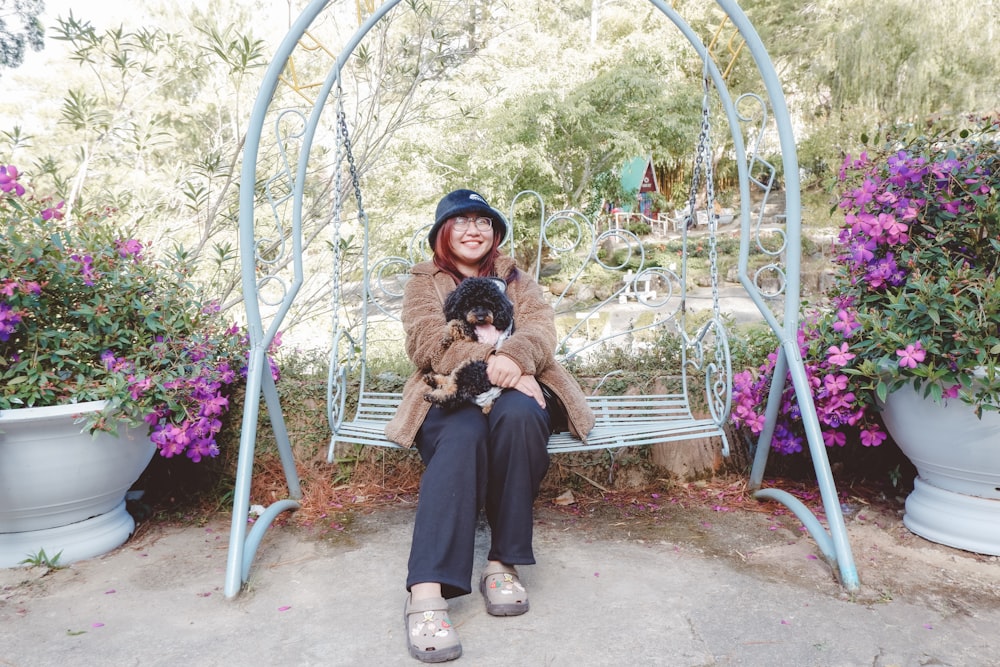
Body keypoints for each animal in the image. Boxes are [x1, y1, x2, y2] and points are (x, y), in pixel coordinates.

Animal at [422, 276, 516, 412]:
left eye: (489, 304)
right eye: (469, 304)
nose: (481, 318)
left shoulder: (475, 336)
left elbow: (459, 323)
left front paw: (447, 336)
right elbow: (458, 321)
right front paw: (448, 337)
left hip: (472, 368)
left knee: (455, 394)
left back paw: (434, 396)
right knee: (452, 383)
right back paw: (432, 380)